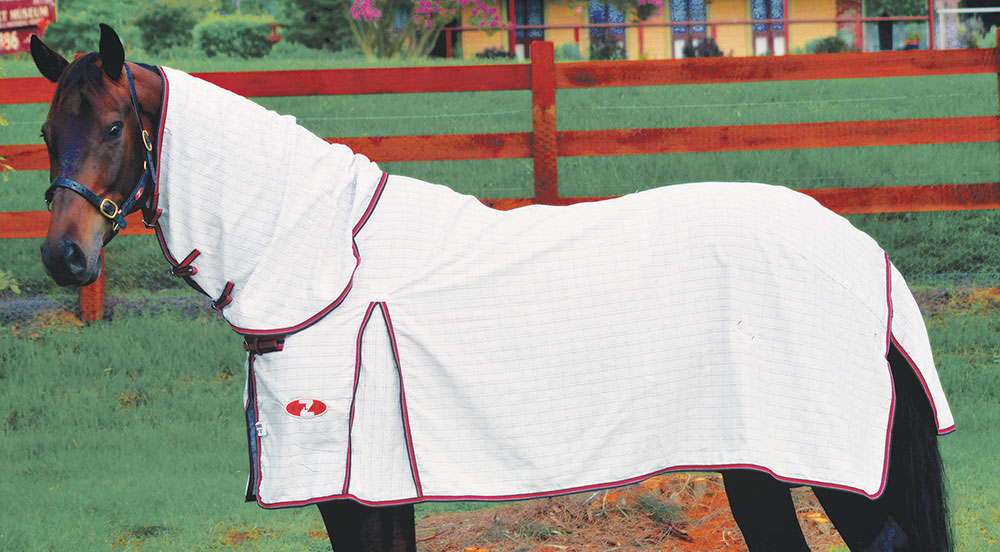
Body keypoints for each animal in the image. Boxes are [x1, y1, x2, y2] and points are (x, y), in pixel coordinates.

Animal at [31, 25, 954, 552]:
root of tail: (865, 254)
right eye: (43, 131)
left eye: (112, 126)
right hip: (755, 468)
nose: (64, 260)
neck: (326, 259)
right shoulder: (376, 494)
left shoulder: (353, 491)